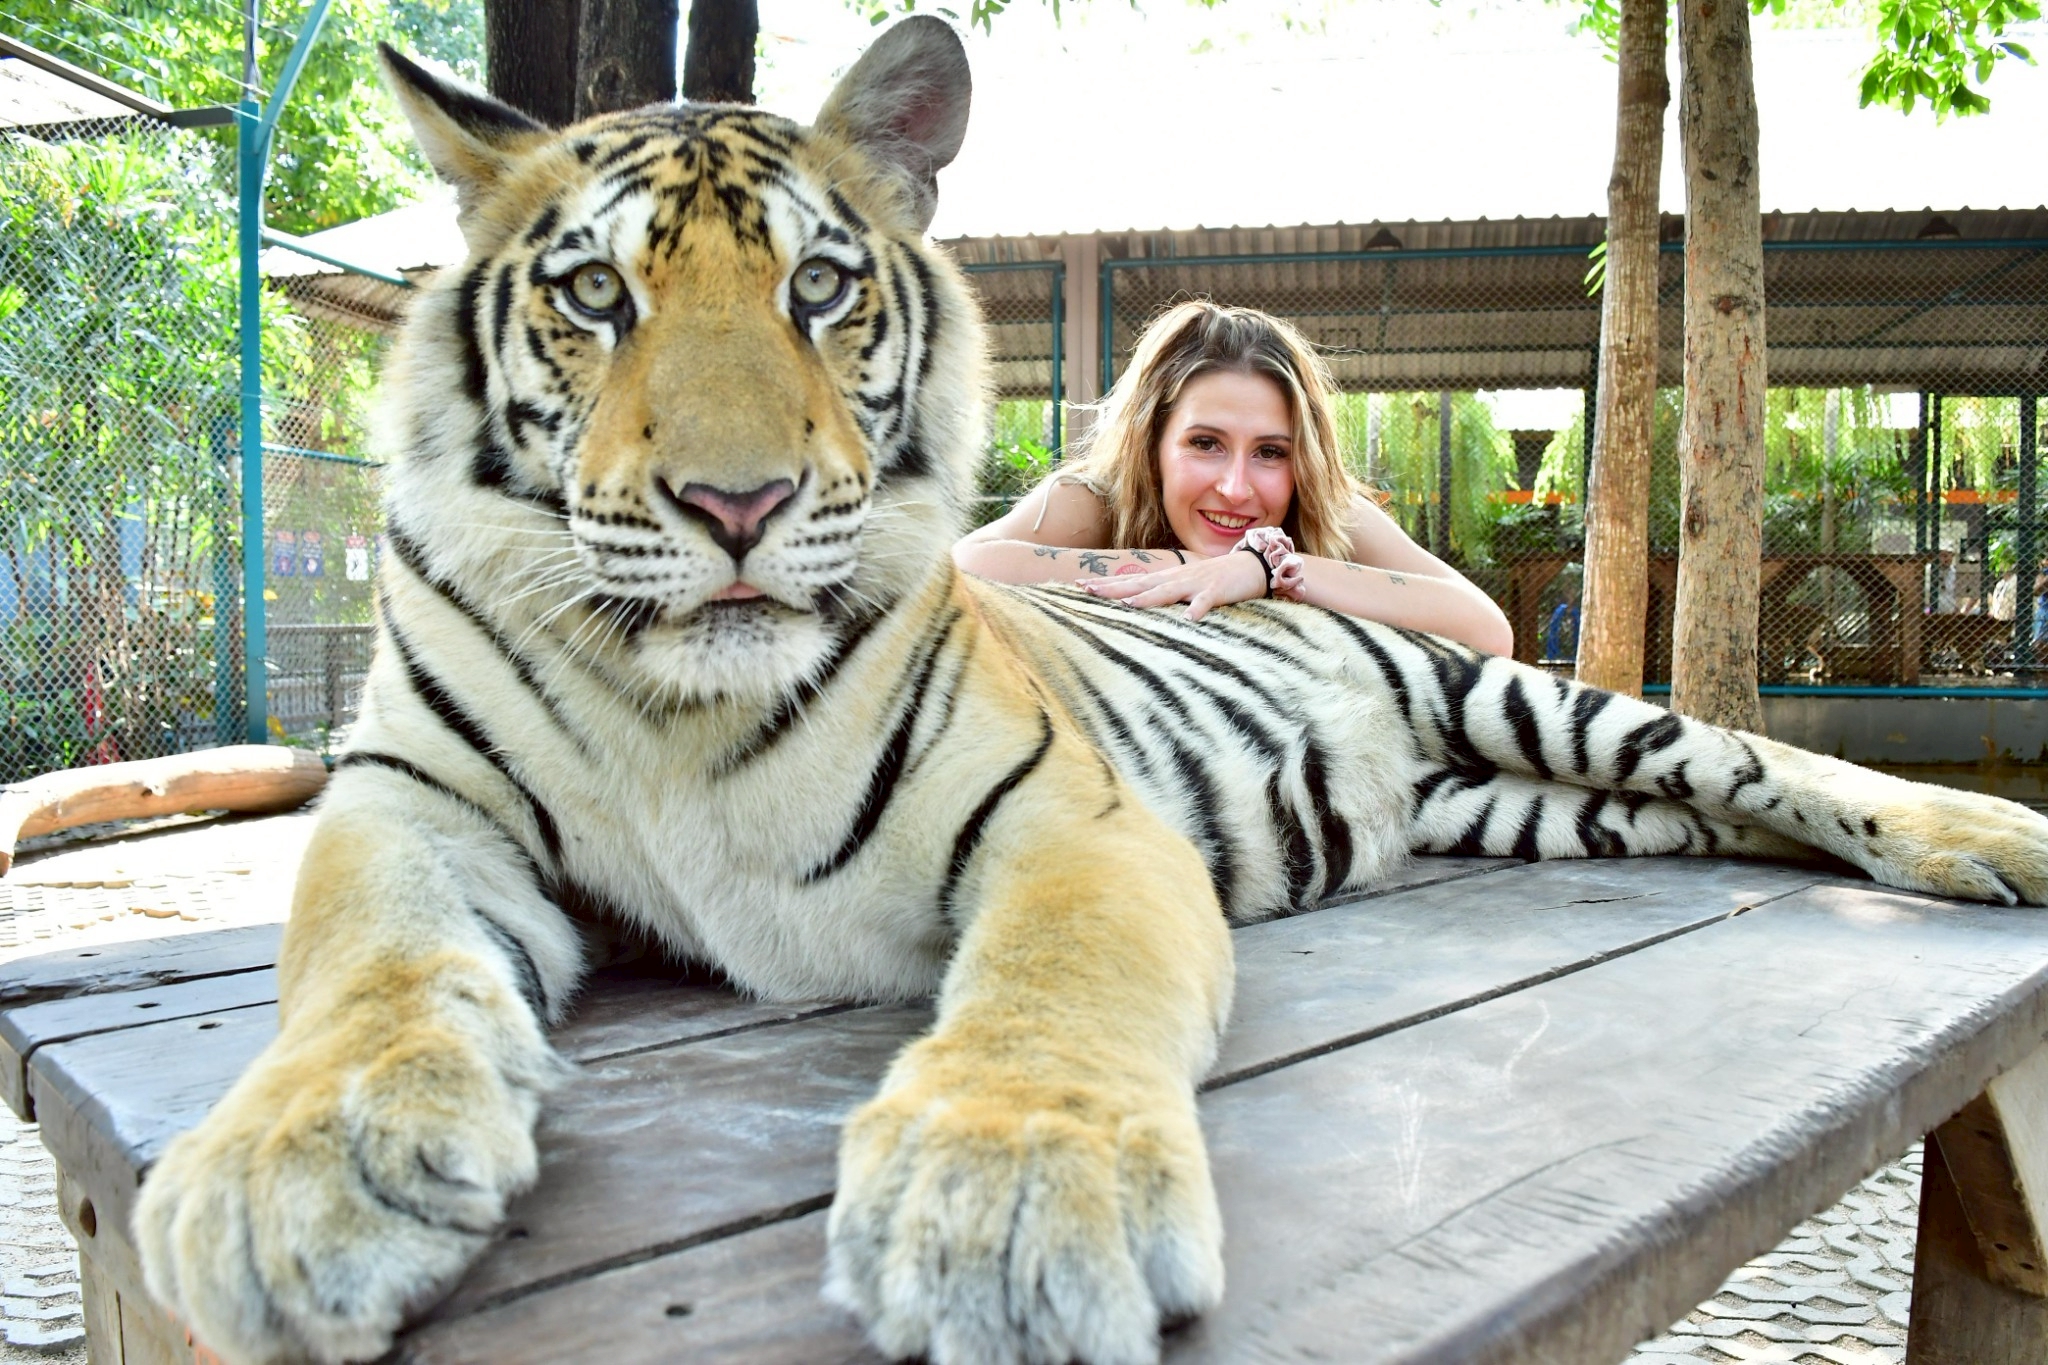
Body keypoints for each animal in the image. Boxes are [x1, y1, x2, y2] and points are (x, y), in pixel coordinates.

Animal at [131, 17, 2048, 1365]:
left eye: (819, 286)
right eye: (594, 291)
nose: (738, 505)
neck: (677, 704)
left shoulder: (1069, 818)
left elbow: (1052, 992)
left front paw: (1004, 1210)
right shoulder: (414, 805)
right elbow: (368, 965)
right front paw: (302, 1171)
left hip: (1540, 704)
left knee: (1755, 760)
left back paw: (1985, 839)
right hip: (1539, 808)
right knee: (1694, 815)